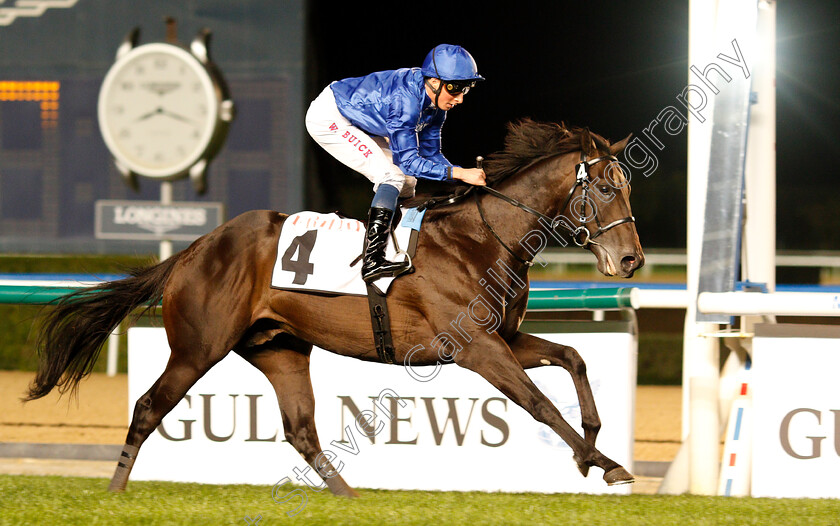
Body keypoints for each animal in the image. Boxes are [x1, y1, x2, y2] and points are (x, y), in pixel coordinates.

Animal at [26, 119, 644, 500]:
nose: (632, 259)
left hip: (279, 348)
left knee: (301, 428)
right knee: (149, 407)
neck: (482, 239)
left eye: (627, 188)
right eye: (605, 190)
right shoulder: (476, 347)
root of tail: (197, 247)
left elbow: (573, 356)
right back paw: (115, 491)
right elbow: (540, 403)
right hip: (199, 346)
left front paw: (593, 448)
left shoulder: (504, 337)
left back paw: (351, 495)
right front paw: (602, 463)